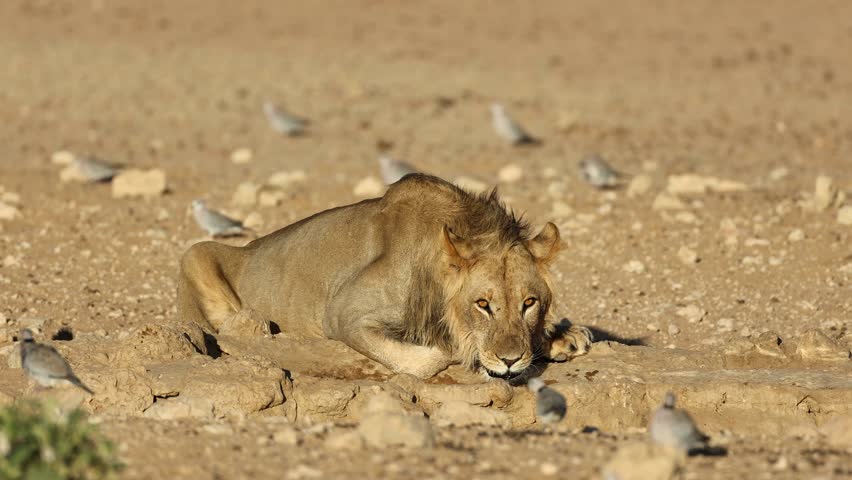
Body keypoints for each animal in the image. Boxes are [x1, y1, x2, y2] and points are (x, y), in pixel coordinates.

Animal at [177, 174, 592, 380]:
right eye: (483, 304)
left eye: (529, 303)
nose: (509, 360)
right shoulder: (343, 313)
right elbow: (429, 358)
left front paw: (562, 337)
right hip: (195, 253)